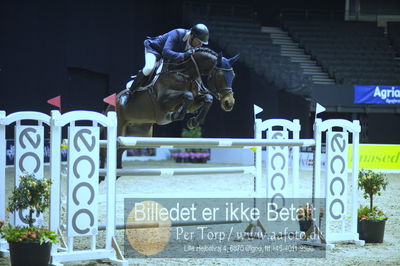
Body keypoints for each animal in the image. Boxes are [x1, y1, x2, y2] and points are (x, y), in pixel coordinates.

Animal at [101, 47, 239, 181]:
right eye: (219, 76)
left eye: (233, 76)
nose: (229, 103)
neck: (186, 74)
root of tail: (108, 108)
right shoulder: (163, 100)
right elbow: (188, 96)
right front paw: (174, 115)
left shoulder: (194, 102)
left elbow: (207, 98)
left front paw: (193, 121)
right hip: (116, 129)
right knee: (105, 151)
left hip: (134, 138)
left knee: (119, 154)